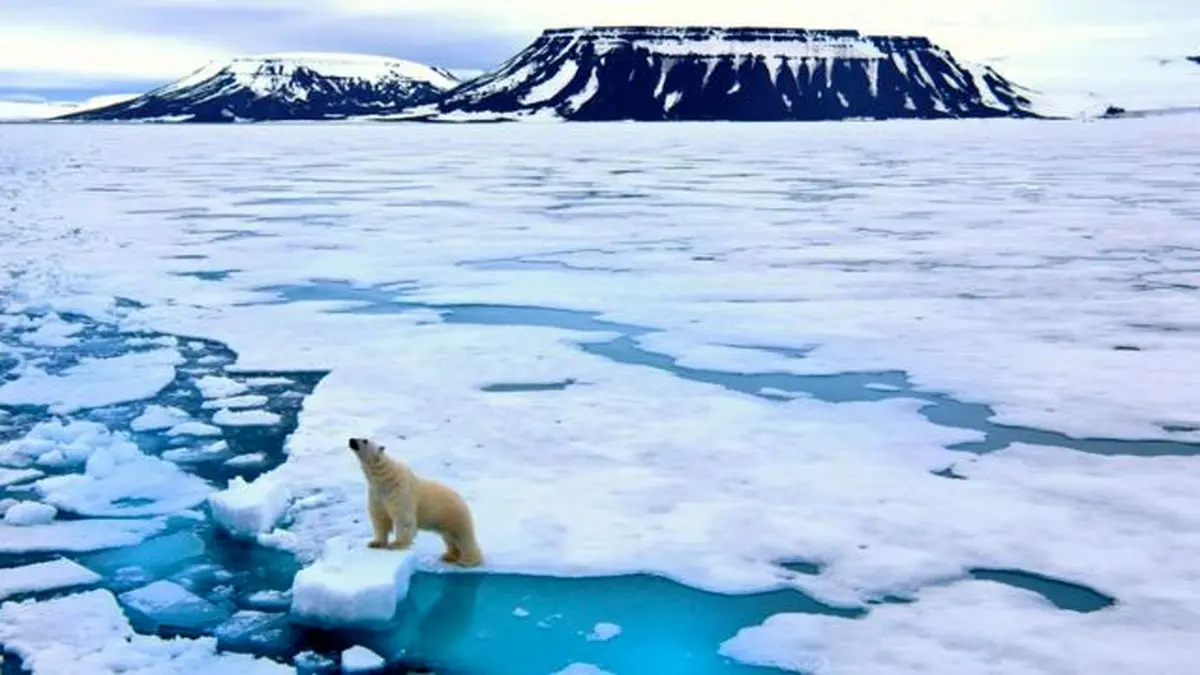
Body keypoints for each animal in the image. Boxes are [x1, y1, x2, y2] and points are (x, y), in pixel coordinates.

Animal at [348, 432, 482, 564]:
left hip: (454, 515)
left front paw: (397, 544)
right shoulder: (376, 494)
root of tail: (462, 500)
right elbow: (380, 518)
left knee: (463, 537)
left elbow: (403, 518)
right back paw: (449, 556)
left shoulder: (400, 491)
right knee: (449, 537)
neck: (385, 479)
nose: (351, 440)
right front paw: (375, 543)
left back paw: (469, 560)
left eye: (365, 440)